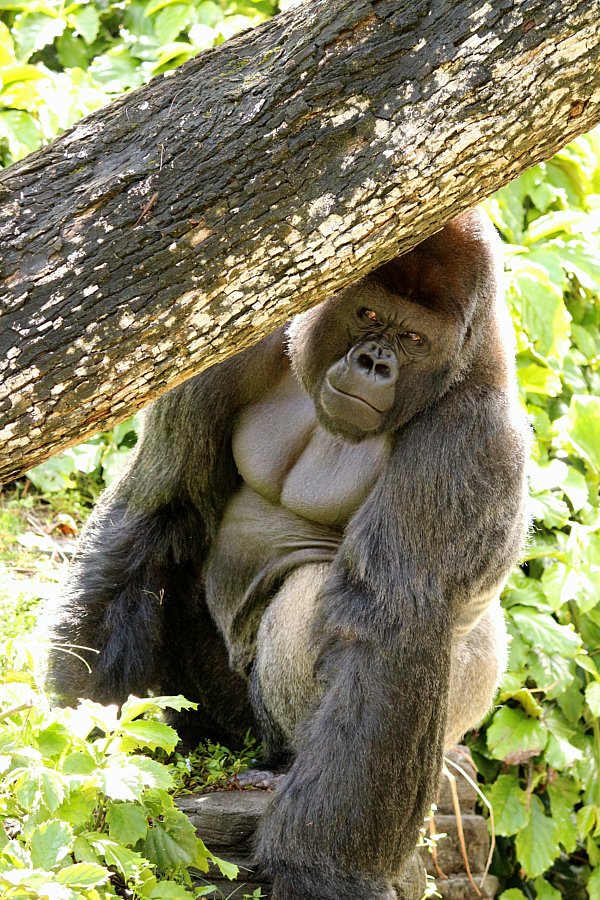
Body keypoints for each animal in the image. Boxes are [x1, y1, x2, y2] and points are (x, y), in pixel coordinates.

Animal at [51, 209, 528, 900]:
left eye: (413, 339)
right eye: (367, 314)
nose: (373, 362)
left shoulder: (472, 442)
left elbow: (388, 626)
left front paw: (320, 868)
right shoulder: (236, 343)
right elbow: (160, 505)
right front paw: (81, 726)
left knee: (314, 595)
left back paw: (278, 770)